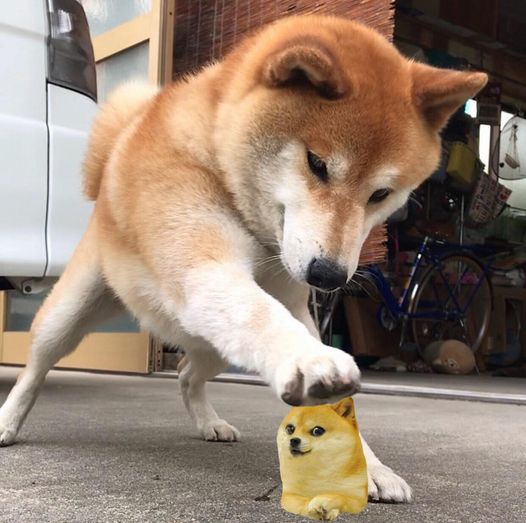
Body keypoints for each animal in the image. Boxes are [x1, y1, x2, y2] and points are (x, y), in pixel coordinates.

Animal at [0, 14, 486, 502]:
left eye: (381, 194)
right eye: (317, 164)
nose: (328, 276)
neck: (219, 163)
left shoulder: (295, 302)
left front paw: (369, 468)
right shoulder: (206, 268)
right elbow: (260, 314)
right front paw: (309, 360)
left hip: (212, 344)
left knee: (186, 375)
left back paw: (208, 423)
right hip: (71, 312)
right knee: (35, 368)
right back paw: (8, 420)